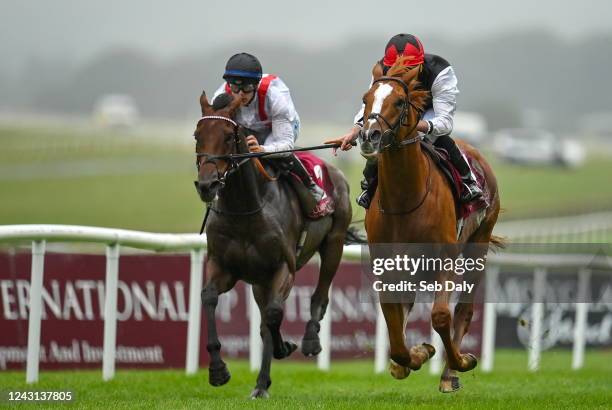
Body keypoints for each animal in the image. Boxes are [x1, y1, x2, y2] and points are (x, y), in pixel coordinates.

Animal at [191, 92, 354, 398]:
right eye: (197, 135)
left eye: (229, 136)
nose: (207, 186)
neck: (246, 209)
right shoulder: (224, 267)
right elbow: (209, 297)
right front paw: (218, 370)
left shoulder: (283, 267)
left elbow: (274, 314)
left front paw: (284, 347)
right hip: (259, 281)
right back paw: (261, 381)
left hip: (334, 243)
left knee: (319, 295)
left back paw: (309, 341)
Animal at [358, 58, 502, 394]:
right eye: (366, 99)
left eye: (400, 101)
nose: (368, 136)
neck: (405, 200)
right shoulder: (386, 266)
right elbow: (393, 325)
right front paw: (414, 355)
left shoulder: (444, 258)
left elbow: (440, 316)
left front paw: (461, 362)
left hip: (479, 243)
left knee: (464, 310)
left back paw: (451, 372)